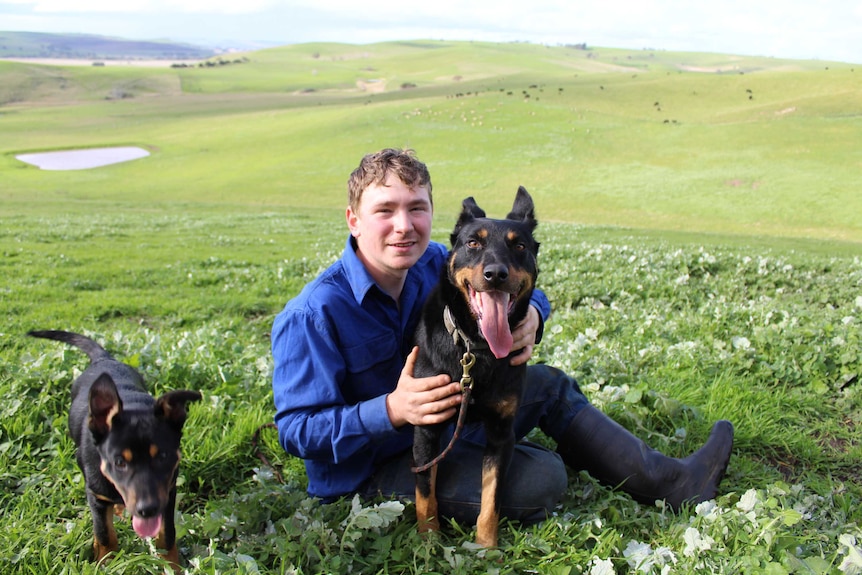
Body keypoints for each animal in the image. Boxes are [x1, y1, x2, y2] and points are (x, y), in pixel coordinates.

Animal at [29, 330, 202, 568]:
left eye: (163, 457)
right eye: (119, 462)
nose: (147, 510)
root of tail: (104, 359)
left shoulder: (168, 492)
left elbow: (167, 535)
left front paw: (172, 567)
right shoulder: (97, 496)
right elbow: (104, 533)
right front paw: (106, 563)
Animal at [412, 188, 540, 548]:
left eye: (519, 246)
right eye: (473, 243)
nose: (495, 274)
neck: (475, 348)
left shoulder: (501, 433)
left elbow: (492, 496)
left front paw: (486, 546)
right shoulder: (426, 426)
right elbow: (425, 492)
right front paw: (428, 543)